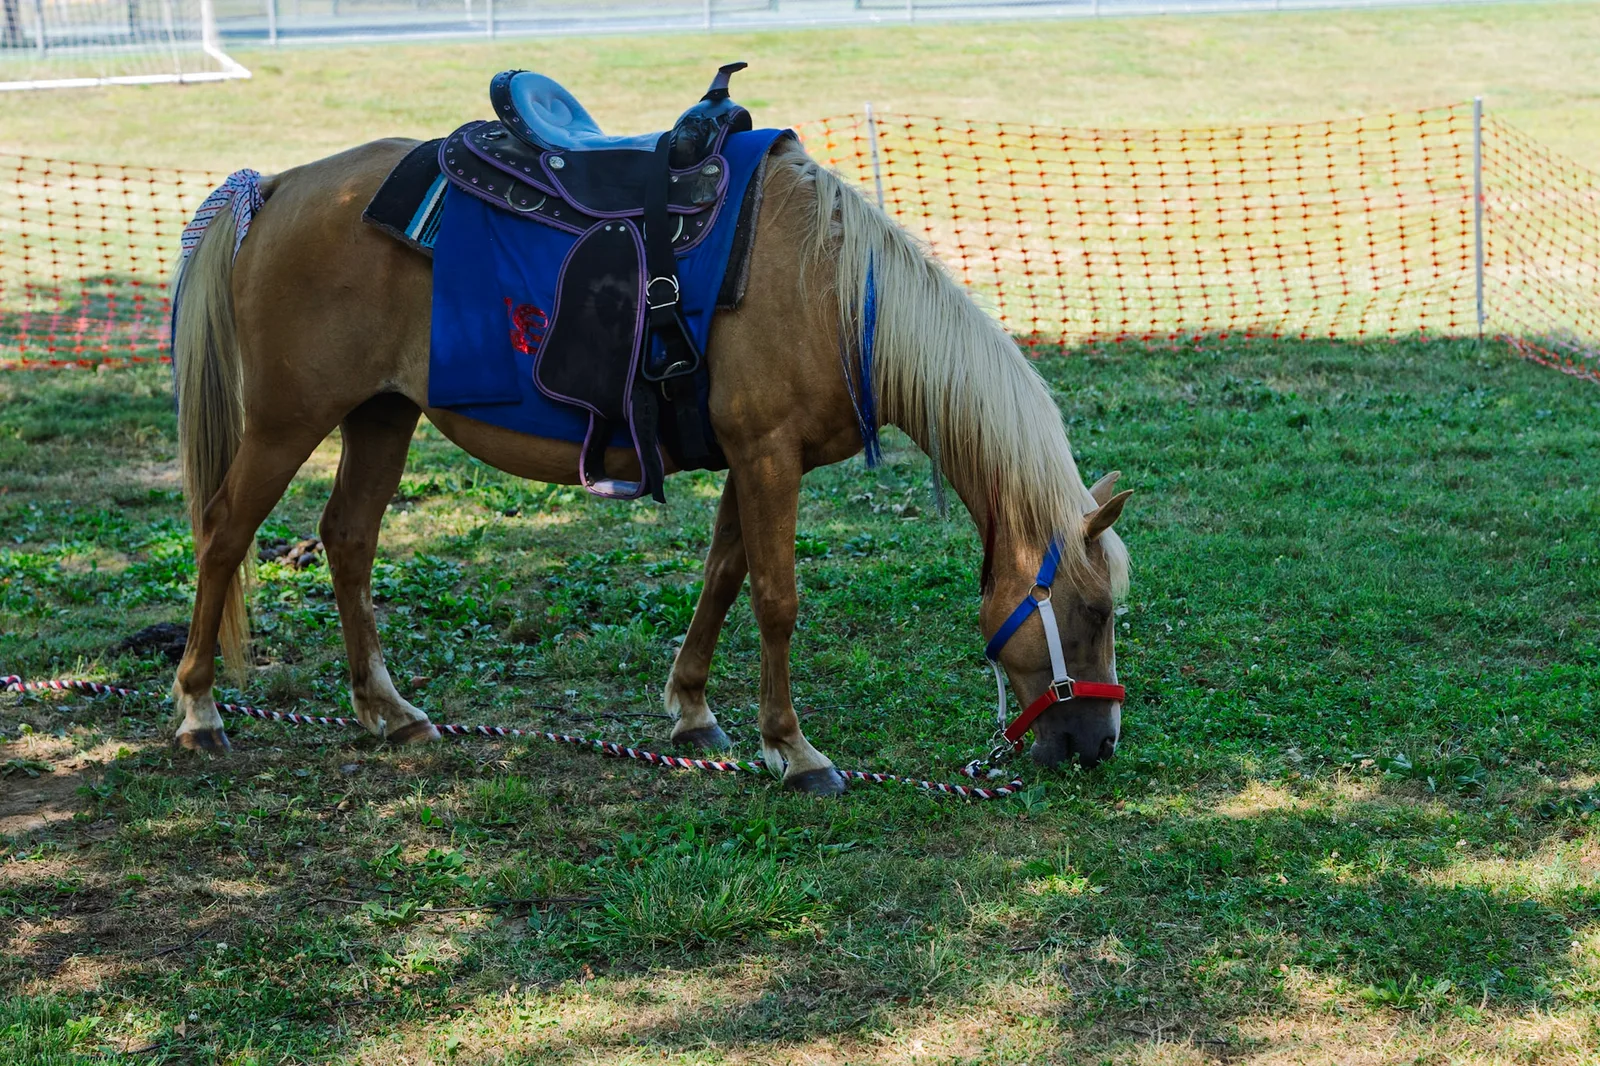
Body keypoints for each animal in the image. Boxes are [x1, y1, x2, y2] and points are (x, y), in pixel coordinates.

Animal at [168, 134, 1132, 795]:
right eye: (1090, 611)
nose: (1097, 745)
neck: (828, 287)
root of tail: (277, 189)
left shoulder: (751, 458)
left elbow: (723, 575)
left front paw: (694, 711)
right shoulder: (769, 455)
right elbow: (777, 600)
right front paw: (794, 751)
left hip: (380, 414)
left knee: (348, 540)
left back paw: (386, 711)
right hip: (288, 421)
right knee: (222, 536)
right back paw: (200, 713)